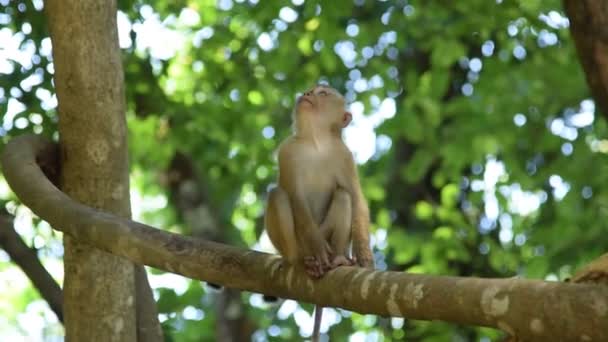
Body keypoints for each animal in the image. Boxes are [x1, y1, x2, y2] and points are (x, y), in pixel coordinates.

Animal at [264, 84, 372, 340]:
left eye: (322, 93)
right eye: (311, 90)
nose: (307, 94)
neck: (316, 141)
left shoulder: (344, 156)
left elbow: (356, 199)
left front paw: (365, 257)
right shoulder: (288, 151)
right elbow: (296, 198)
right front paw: (316, 247)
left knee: (343, 195)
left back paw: (340, 259)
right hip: (298, 243)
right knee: (278, 195)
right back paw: (301, 261)